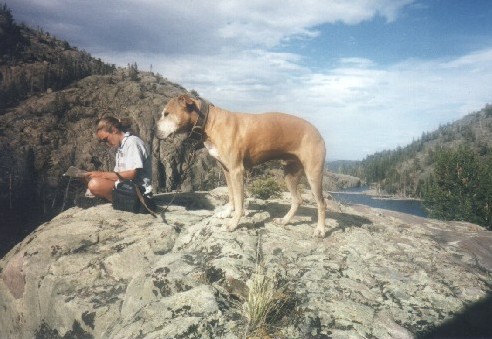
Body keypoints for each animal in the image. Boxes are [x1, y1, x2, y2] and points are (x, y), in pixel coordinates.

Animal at [158, 94, 326, 238]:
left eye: (166, 113)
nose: (155, 130)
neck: (210, 121)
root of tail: (318, 132)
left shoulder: (237, 171)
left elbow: (239, 201)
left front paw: (233, 224)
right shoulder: (227, 170)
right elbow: (232, 195)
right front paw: (227, 213)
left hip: (313, 174)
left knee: (321, 203)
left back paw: (320, 230)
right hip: (290, 174)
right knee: (297, 200)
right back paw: (284, 220)